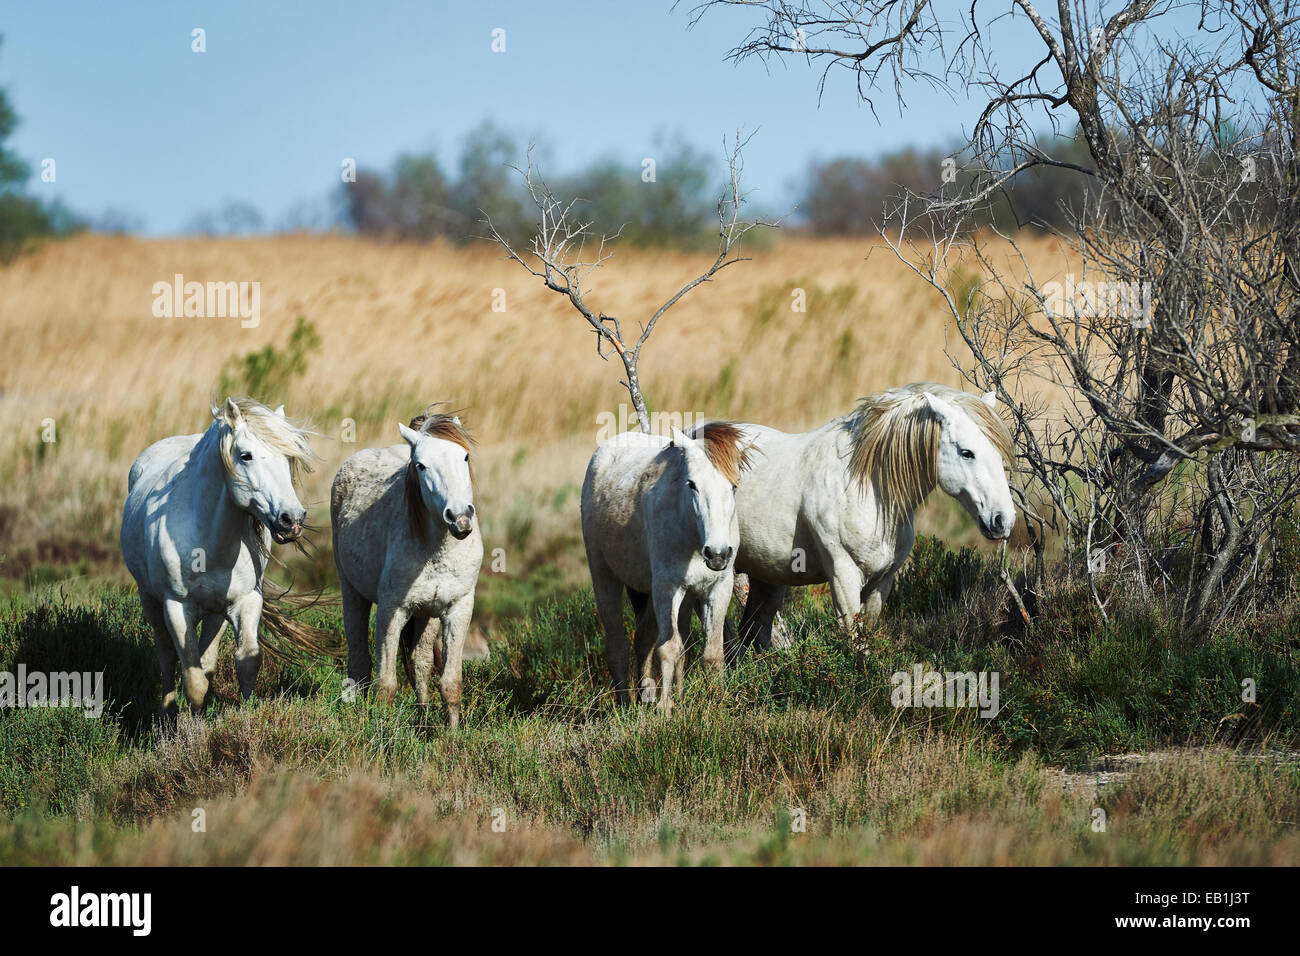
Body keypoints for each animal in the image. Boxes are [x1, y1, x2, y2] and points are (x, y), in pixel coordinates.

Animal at [120, 395, 318, 717]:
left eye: (288, 457)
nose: (292, 519)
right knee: (166, 655)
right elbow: (194, 682)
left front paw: (245, 718)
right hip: (150, 601)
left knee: (207, 660)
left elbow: (246, 662)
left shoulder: (246, 601)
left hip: (216, 613)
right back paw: (166, 712)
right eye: (246, 455)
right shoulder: (177, 607)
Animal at [330, 408, 483, 728]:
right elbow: (386, 684)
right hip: (352, 593)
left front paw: (452, 734)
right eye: (421, 465)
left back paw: (423, 718)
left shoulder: (457, 609)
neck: (436, 549)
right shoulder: (392, 610)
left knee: (419, 662)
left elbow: (450, 683)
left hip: (427, 614)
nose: (460, 518)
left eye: (464, 457)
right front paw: (381, 730)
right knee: (359, 661)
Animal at [582, 421, 754, 712]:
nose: (718, 554)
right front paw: (665, 710)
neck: (691, 531)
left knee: (644, 639)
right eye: (692, 485)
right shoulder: (667, 588)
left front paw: (717, 702)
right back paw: (625, 705)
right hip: (604, 575)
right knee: (617, 645)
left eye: (733, 487)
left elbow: (712, 653)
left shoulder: (718, 588)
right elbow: (669, 647)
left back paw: (647, 697)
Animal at [722, 382, 1013, 650]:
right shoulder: (843, 578)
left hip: (767, 576)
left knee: (754, 629)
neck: (867, 487)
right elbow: (856, 644)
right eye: (966, 452)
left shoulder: (881, 582)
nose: (1003, 520)